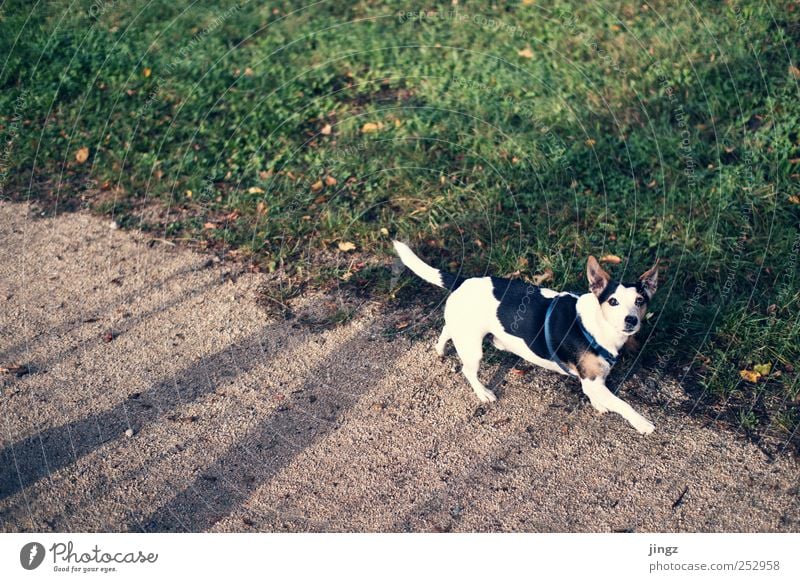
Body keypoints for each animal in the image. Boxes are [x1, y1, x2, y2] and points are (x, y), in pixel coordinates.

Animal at [390, 240, 660, 436]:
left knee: (446, 330)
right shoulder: (593, 380)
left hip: (463, 329)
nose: (631, 320)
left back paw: (439, 349)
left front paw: (599, 404)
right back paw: (483, 393)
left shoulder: (593, 380)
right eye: (613, 301)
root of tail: (462, 281)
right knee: (468, 370)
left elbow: (600, 396)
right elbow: (623, 404)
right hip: (474, 348)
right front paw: (642, 423)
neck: (596, 323)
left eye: (640, 301)